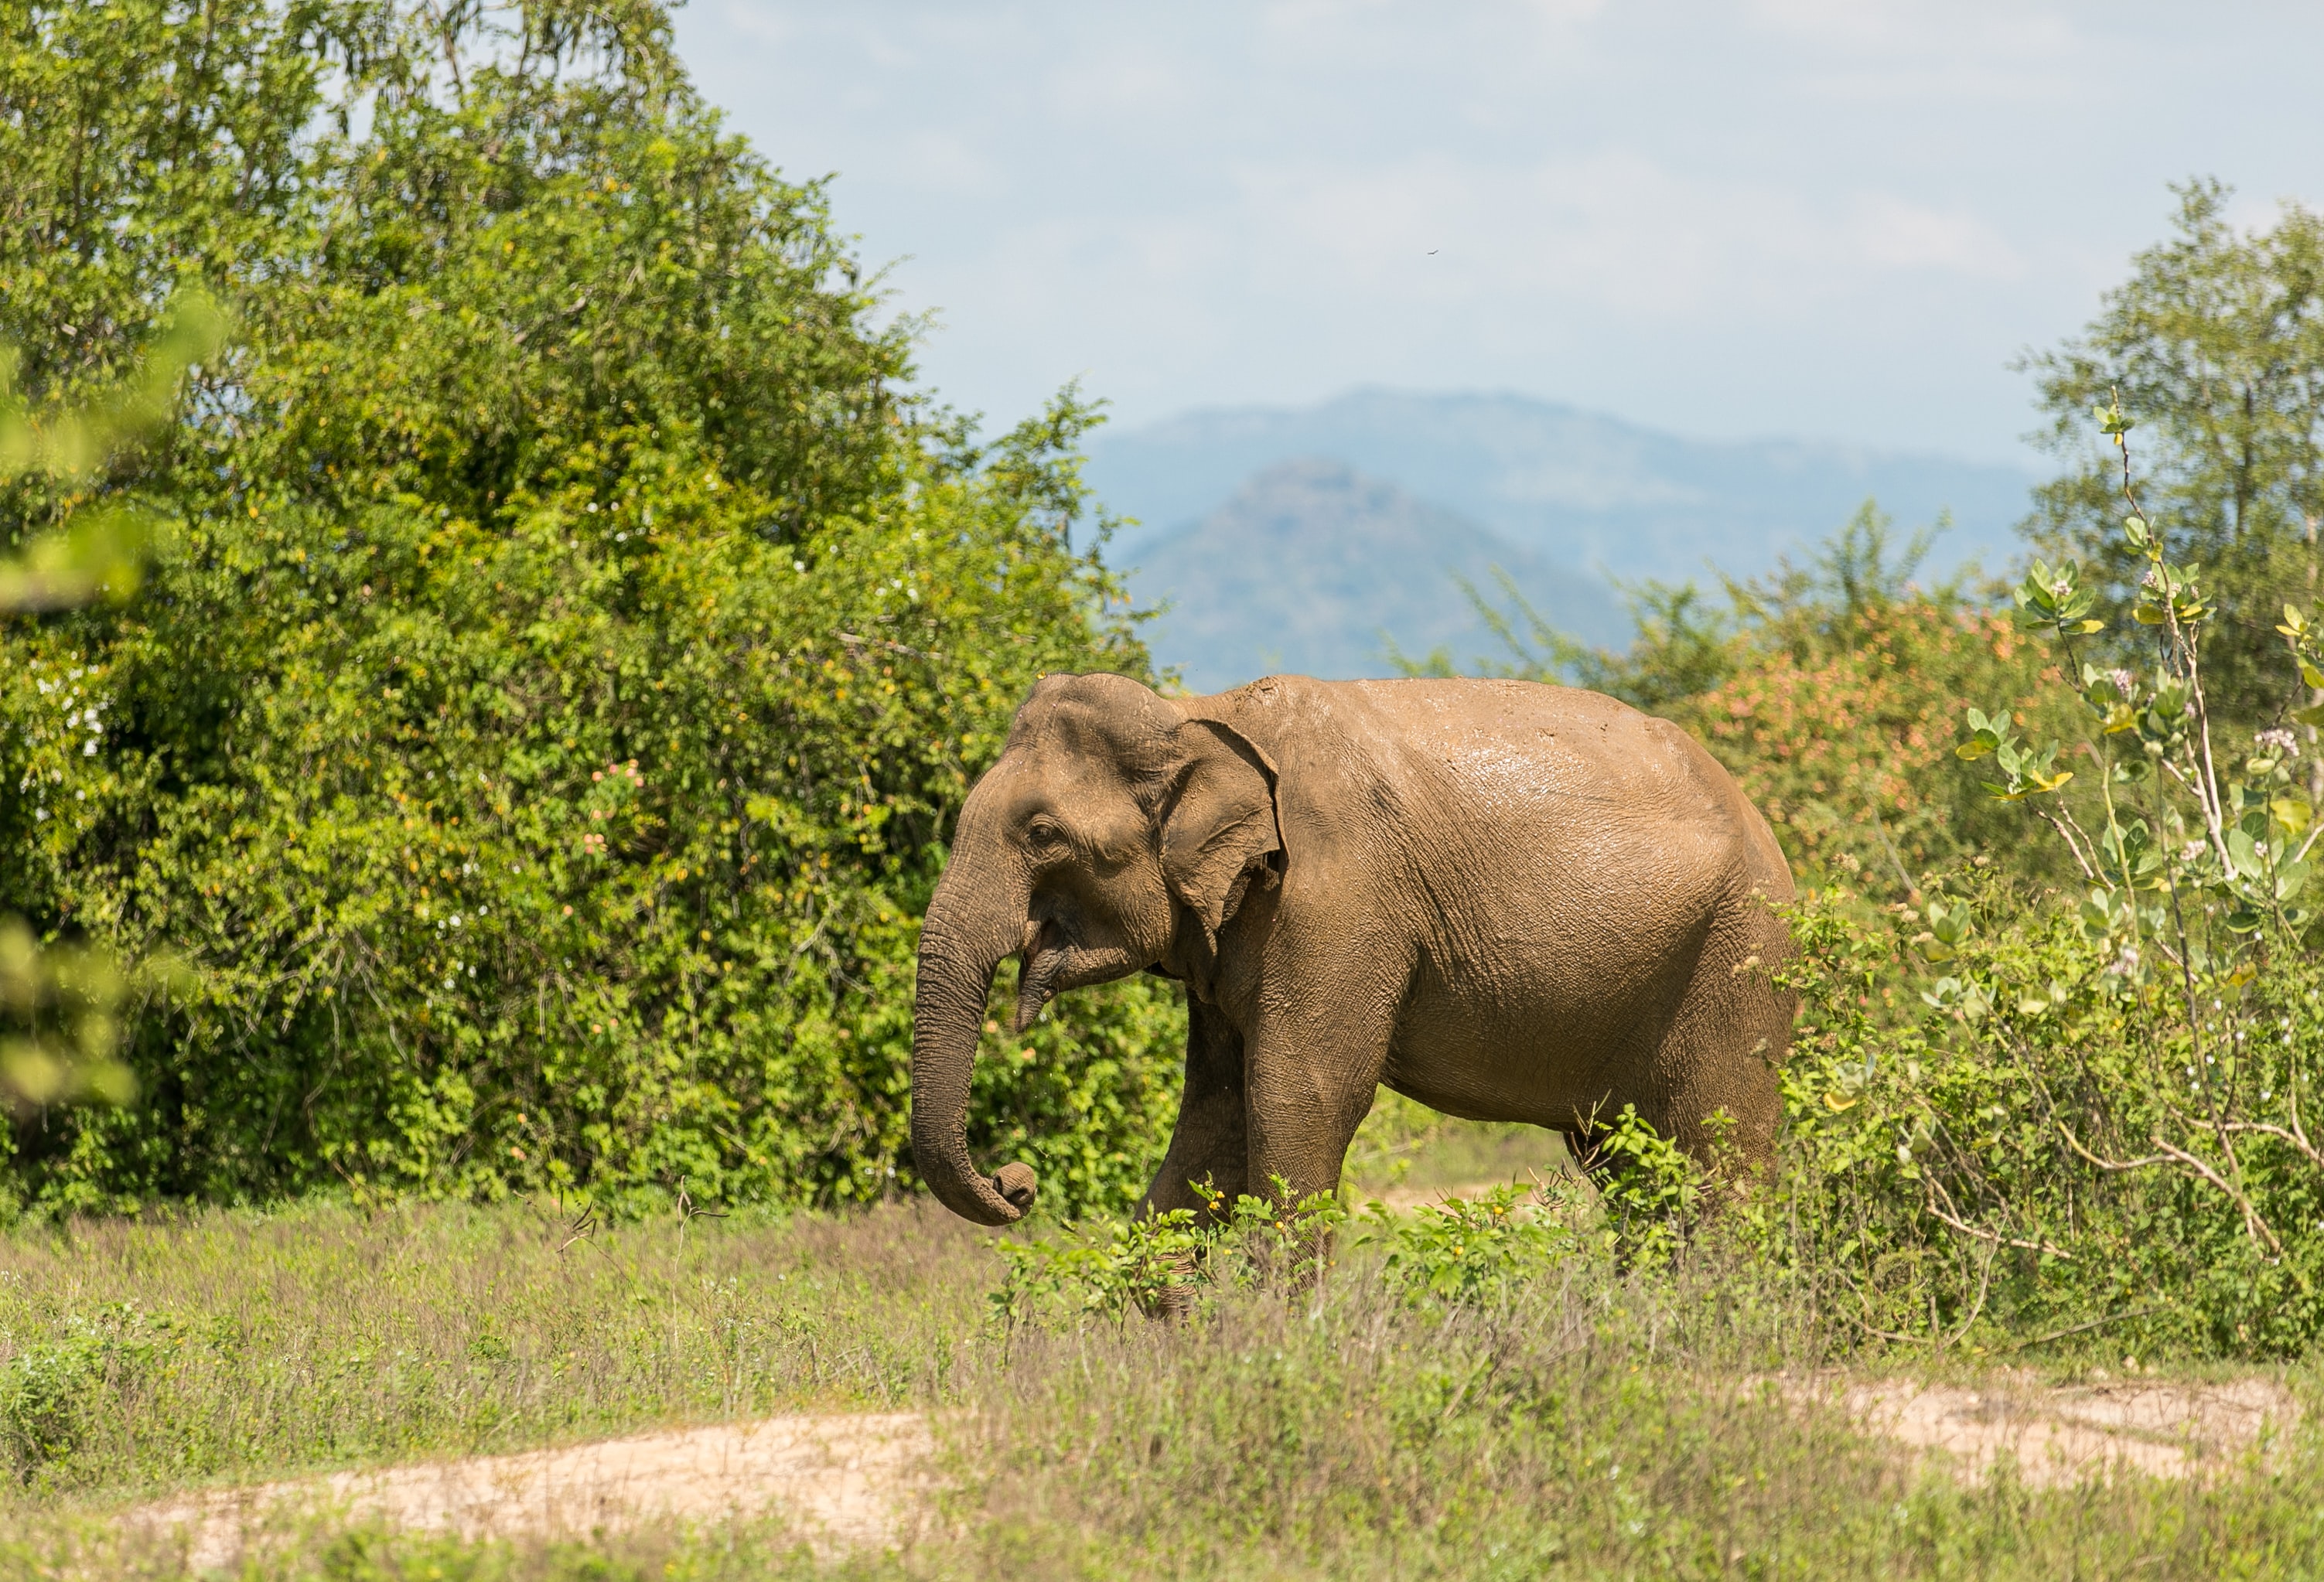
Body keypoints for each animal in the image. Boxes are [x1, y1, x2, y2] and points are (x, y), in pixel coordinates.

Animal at [906, 664, 1793, 1217]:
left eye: (1043, 834)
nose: (1016, 1182)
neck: (1200, 714)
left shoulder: (1336, 896)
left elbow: (1299, 1096)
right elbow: (1212, 1114)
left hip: (1738, 956)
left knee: (1717, 1150)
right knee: (1626, 1161)